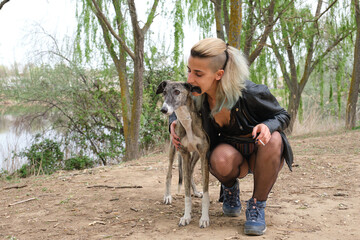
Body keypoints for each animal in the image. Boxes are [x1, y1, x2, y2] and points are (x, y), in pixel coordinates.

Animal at [155, 81, 211, 229]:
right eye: (164, 92)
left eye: (177, 92)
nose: (163, 109)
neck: (186, 122)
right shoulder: (184, 153)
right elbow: (186, 193)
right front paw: (186, 217)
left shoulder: (203, 154)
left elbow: (206, 191)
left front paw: (204, 218)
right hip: (173, 149)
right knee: (169, 173)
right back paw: (167, 196)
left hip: (195, 155)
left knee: (190, 172)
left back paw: (196, 192)